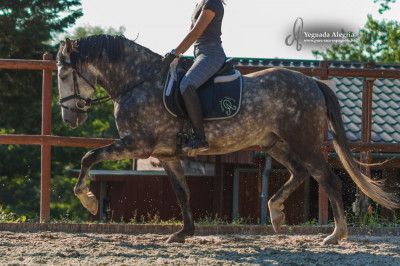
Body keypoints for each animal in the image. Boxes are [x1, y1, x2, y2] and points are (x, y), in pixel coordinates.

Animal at [55, 35, 396, 245]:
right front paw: (184, 232)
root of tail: (313, 82)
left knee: (328, 180)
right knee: (299, 173)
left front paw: (87, 200)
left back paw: (335, 235)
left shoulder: (138, 143)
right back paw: (276, 213)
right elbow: (182, 192)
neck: (138, 82)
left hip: (304, 143)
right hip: (275, 143)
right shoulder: (166, 154)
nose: (70, 118)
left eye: (62, 75)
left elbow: (88, 157)